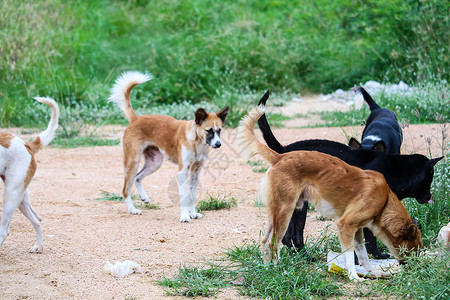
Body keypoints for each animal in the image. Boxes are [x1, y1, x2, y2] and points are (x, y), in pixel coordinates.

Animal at [0, 97, 59, 252]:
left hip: (11, 193)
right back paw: (38, 245)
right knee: (37, 220)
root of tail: (26, 144)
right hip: (20, 197)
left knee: (4, 231)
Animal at [109, 71, 229, 221]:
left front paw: (193, 213)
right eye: (209, 131)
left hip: (154, 163)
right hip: (132, 162)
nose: (218, 144)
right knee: (125, 189)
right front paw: (185, 216)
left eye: (219, 130)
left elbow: (192, 195)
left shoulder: (196, 172)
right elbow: (184, 196)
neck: (197, 143)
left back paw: (144, 197)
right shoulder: (182, 172)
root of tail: (136, 119)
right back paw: (132, 210)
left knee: (137, 177)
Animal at [237, 103, 424, 282]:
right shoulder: (346, 225)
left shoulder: (357, 230)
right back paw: (278, 271)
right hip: (286, 212)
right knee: (273, 244)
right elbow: (350, 257)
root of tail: (279, 156)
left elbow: (364, 257)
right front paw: (354, 277)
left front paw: (373, 273)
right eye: (416, 249)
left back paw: (268, 269)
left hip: (277, 213)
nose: (417, 269)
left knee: (264, 242)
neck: (384, 199)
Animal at [256, 91, 442, 258]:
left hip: (297, 205)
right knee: (292, 235)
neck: (397, 168)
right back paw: (305, 256)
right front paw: (376, 256)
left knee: (288, 236)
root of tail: (282, 151)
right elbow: (369, 239)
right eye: (429, 180)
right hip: (297, 206)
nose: (429, 197)